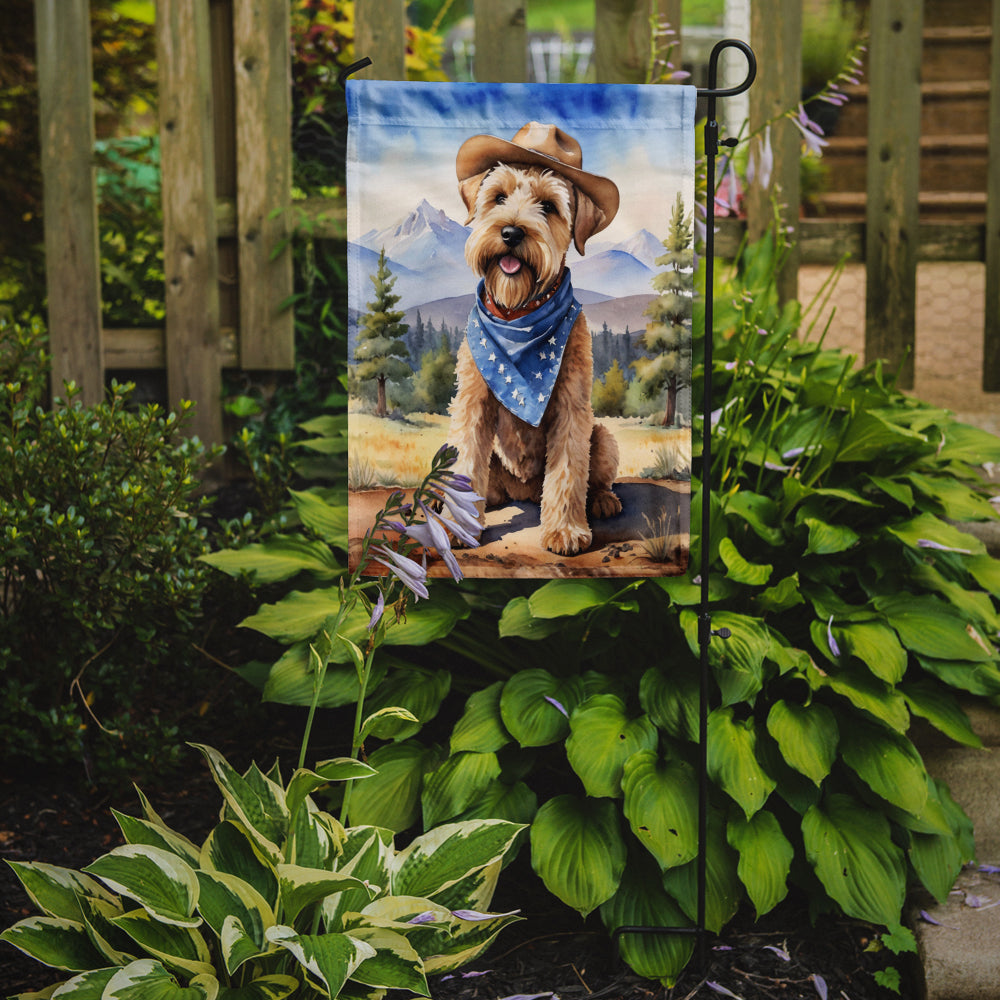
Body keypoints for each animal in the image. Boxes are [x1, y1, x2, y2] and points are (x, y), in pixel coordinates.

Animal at [448, 122, 620, 560]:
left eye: (548, 206)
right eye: (498, 197)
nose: (511, 232)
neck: (519, 318)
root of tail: (523, 493)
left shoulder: (570, 407)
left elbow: (568, 471)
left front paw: (564, 530)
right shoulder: (472, 402)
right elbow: (464, 461)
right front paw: (455, 526)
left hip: (602, 436)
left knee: (595, 477)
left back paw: (602, 500)